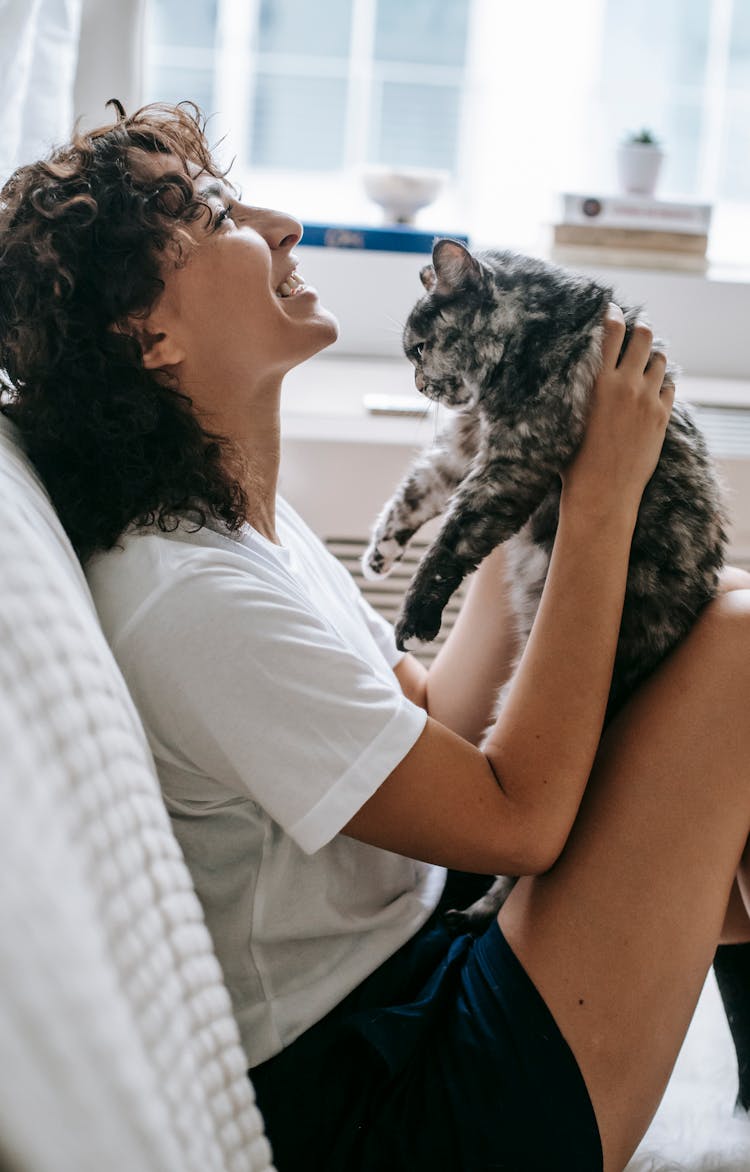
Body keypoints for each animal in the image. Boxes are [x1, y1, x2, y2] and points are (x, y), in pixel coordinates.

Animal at [363, 237, 726, 928]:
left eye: (419, 348)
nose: (418, 383)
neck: (538, 330)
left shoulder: (513, 462)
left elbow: (452, 538)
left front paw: (414, 616)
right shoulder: (464, 447)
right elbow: (416, 492)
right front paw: (379, 553)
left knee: (517, 878)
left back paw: (478, 912)